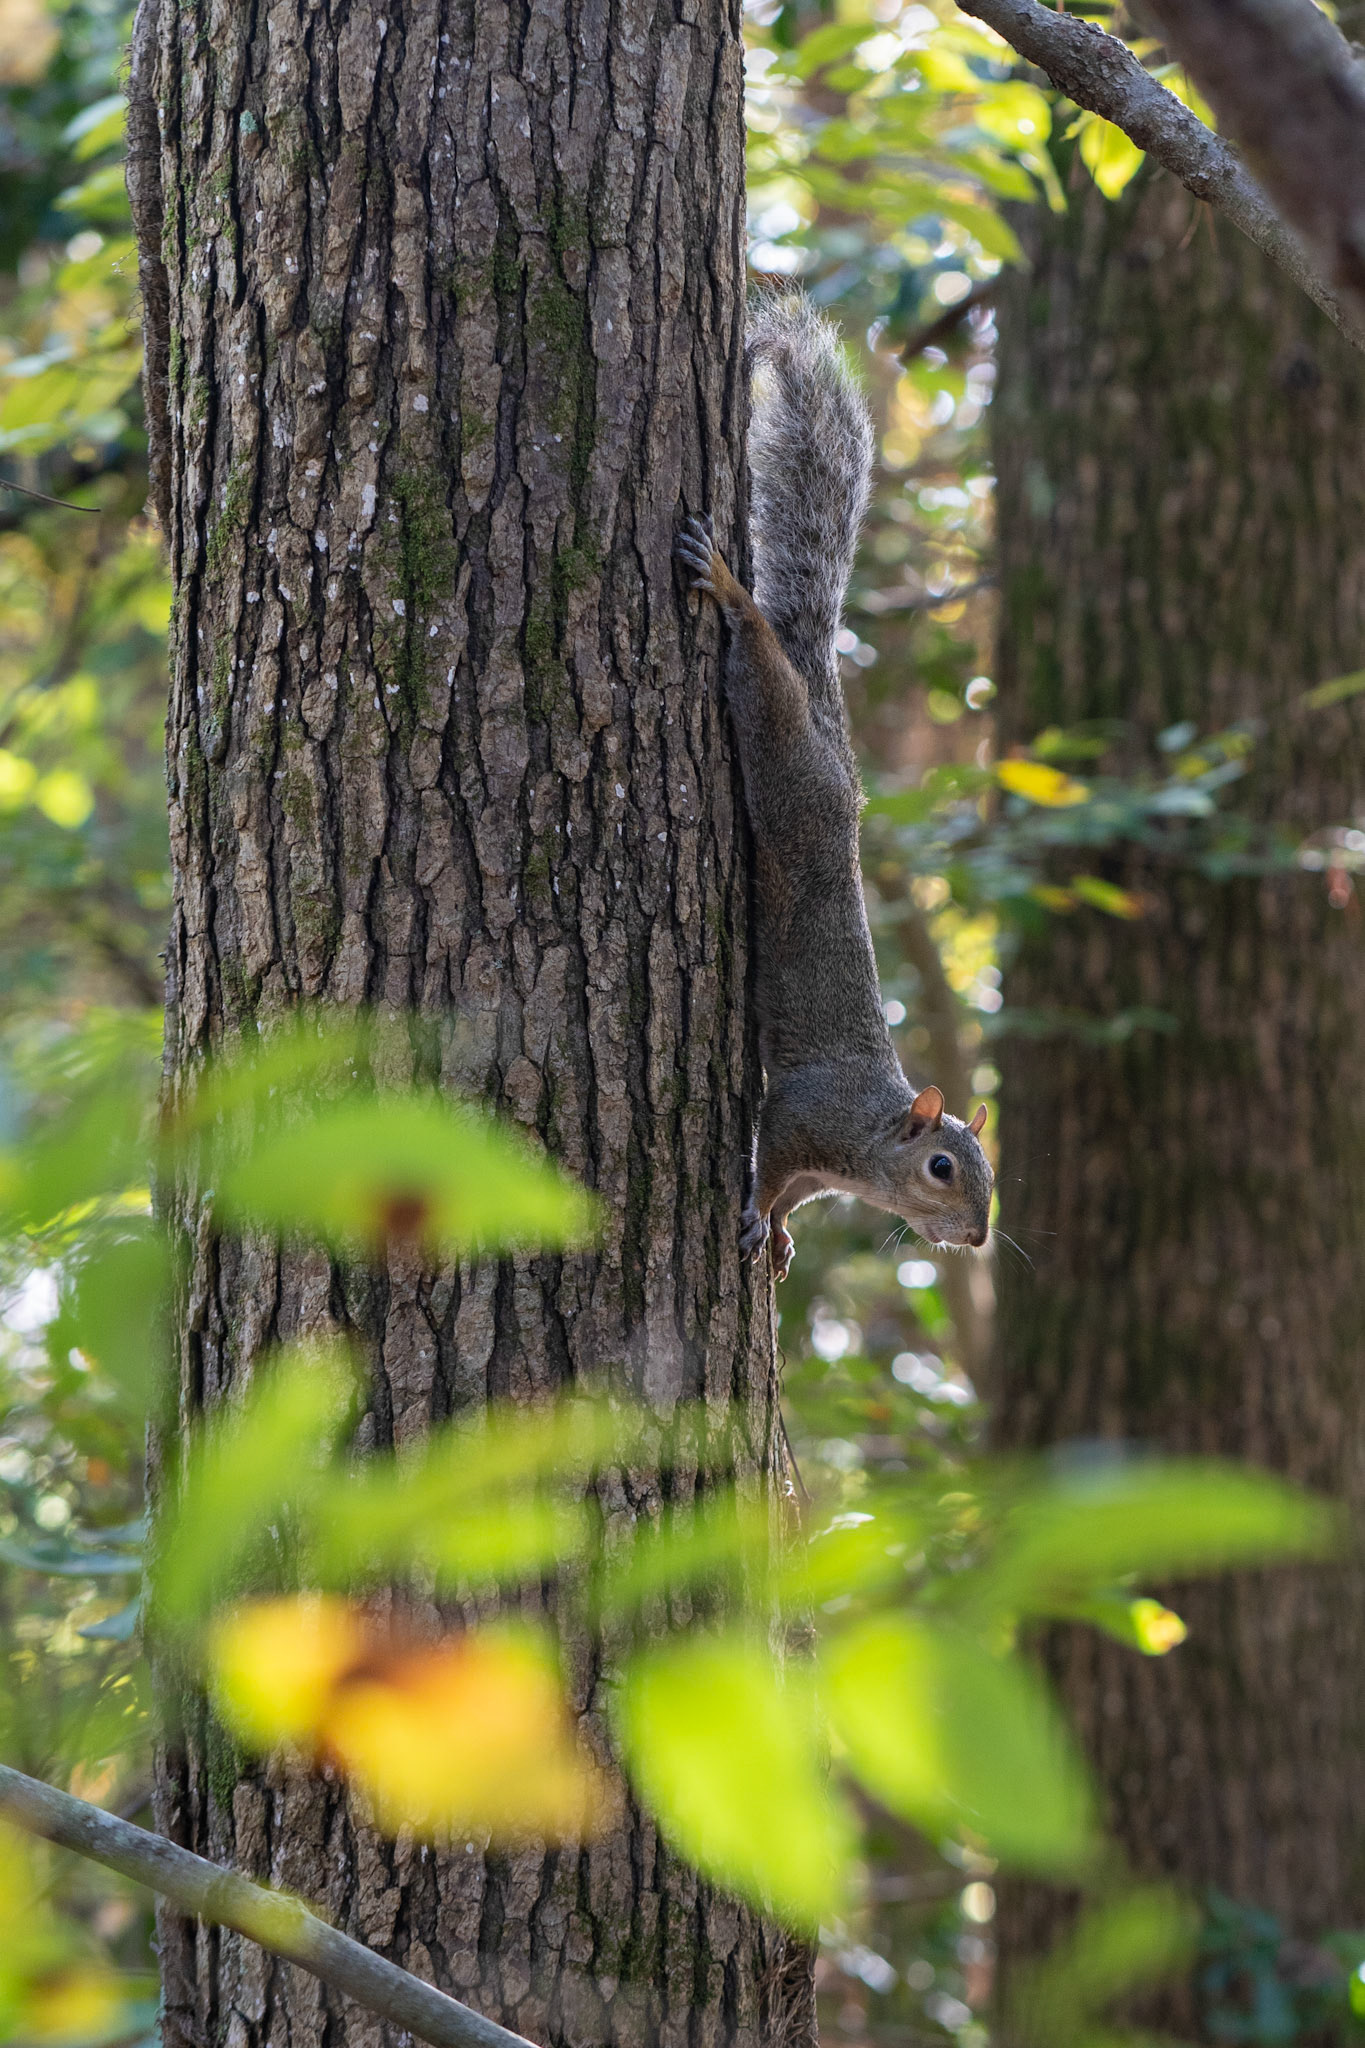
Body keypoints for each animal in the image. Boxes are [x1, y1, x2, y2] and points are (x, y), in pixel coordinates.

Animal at [677, 295, 994, 1281]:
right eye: (942, 1168)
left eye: (990, 1174)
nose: (976, 1237)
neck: (867, 1147)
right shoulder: (797, 1120)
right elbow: (766, 1160)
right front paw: (753, 1213)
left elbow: (793, 1200)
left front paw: (778, 1236)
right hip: (790, 773)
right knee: (763, 686)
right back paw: (731, 592)